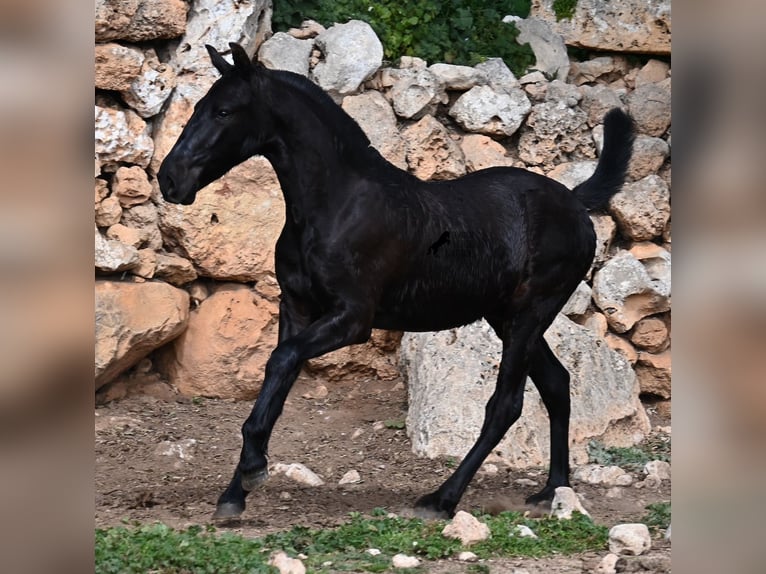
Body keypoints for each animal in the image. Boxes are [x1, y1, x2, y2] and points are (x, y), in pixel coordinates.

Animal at [158, 44, 636, 520]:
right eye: (198, 107)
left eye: (223, 111)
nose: (169, 178)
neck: (336, 205)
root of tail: (574, 202)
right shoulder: (296, 309)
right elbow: (276, 382)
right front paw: (235, 491)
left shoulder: (351, 319)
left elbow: (281, 361)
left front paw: (253, 470)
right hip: (508, 318)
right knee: (556, 384)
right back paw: (554, 489)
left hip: (530, 314)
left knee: (507, 404)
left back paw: (443, 498)